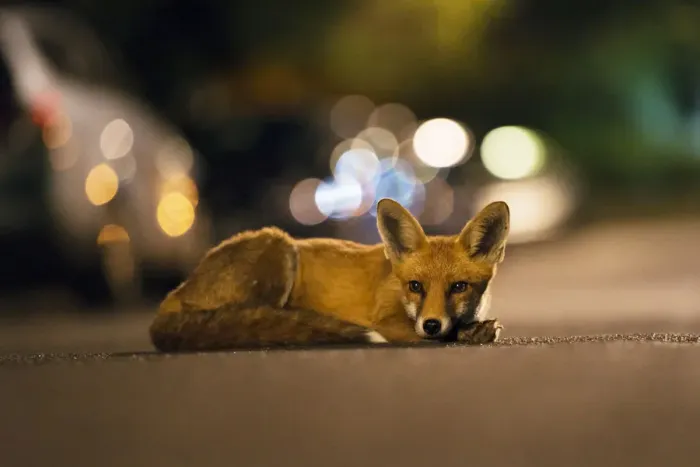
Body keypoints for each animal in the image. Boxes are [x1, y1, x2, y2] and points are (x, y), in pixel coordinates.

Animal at [149, 198, 510, 352]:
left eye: (459, 286)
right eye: (415, 286)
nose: (432, 323)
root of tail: (174, 294)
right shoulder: (386, 321)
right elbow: (432, 336)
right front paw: (466, 334)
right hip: (279, 247)